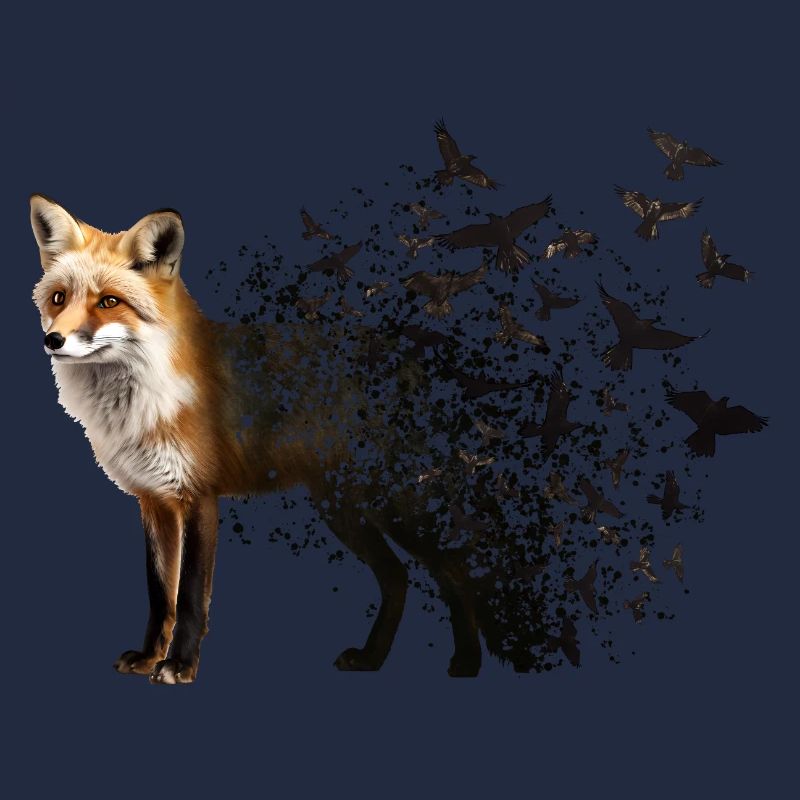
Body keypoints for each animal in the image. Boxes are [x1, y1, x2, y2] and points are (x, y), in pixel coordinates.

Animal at [30, 194, 537, 684]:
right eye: (59, 298)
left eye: (108, 302)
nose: (53, 340)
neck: (145, 399)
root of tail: (412, 360)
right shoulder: (153, 501)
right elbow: (161, 596)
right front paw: (150, 657)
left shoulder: (199, 497)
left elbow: (191, 597)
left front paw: (179, 666)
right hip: (343, 507)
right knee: (398, 578)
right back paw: (371, 659)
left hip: (399, 503)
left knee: (455, 571)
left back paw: (466, 662)